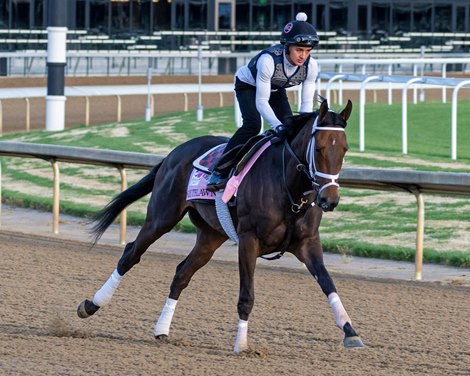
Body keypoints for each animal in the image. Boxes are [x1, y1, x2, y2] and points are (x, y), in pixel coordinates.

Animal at [77, 97, 366, 352]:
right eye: (318, 149)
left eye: (344, 149)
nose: (329, 199)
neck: (289, 188)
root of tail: (174, 153)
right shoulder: (249, 241)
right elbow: (246, 296)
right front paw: (242, 345)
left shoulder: (307, 243)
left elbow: (328, 284)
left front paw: (350, 331)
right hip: (162, 216)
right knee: (131, 254)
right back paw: (91, 305)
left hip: (210, 236)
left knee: (182, 273)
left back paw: (161, 329)